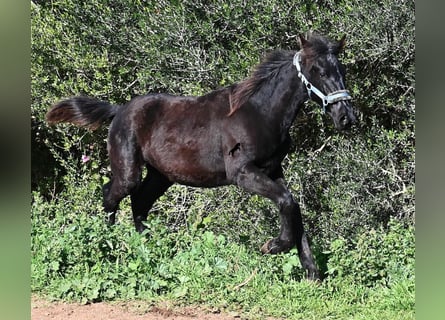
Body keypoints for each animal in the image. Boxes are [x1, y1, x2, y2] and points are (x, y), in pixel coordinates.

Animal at [46, 33, 358, 280]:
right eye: (317, 70)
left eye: (341, 69)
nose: (347, 118)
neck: (259, 111)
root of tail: (119, 110)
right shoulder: (242, 173)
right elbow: (287, 202)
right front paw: (274, 246)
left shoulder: (273, 170)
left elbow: (292, 207)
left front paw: (312, 273)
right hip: (129, 171)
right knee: (111, 196)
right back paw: (107, 246)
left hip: (162, 176)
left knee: (140, 202)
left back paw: (148, 249)